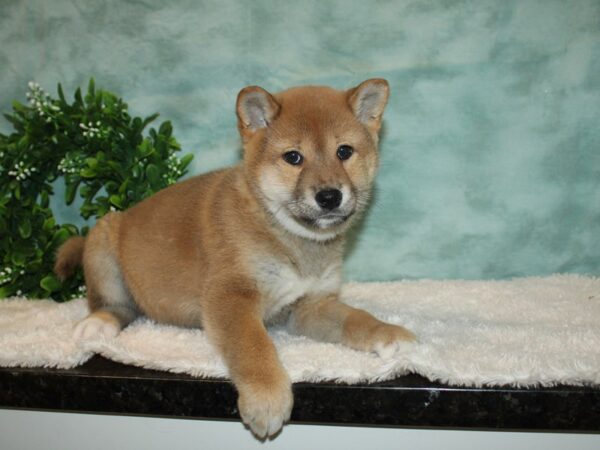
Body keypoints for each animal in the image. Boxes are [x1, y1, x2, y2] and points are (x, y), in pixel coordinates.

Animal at [55, 78, 412, 440]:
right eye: (293, 157)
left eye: (344, 152)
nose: (329, 196)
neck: (286, 235)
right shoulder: (231, 295)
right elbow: (253, 346)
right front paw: (266, 397)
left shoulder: (310, 306)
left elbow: (355, 318)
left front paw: (388, 333)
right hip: (103, 244)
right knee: (116, 306)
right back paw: (98, 323)